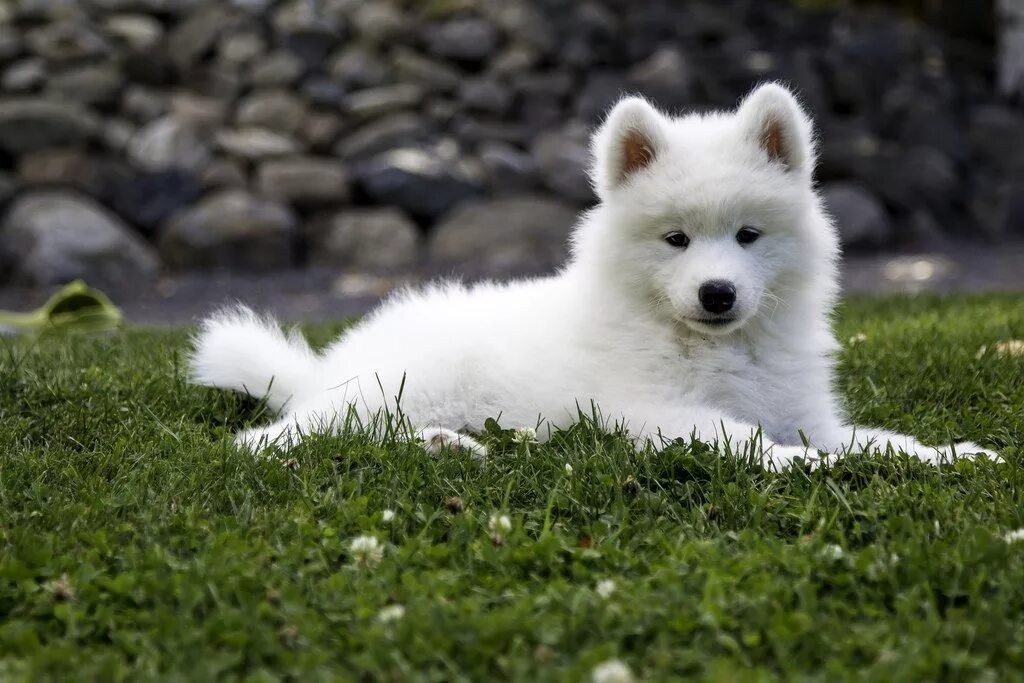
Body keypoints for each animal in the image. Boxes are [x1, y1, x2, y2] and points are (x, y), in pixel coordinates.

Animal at [188, 81, 995, 471]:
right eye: (675, 239)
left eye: (748, 235)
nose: (718, 293)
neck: (715, 347)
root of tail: (325, 365)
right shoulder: (646, 411)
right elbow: (742, 437)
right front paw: (799, 467)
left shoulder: (809, 412)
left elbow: (878, 440)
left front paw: (952, 455)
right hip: (392, 388)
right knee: (282, 440)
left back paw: (454, 447)